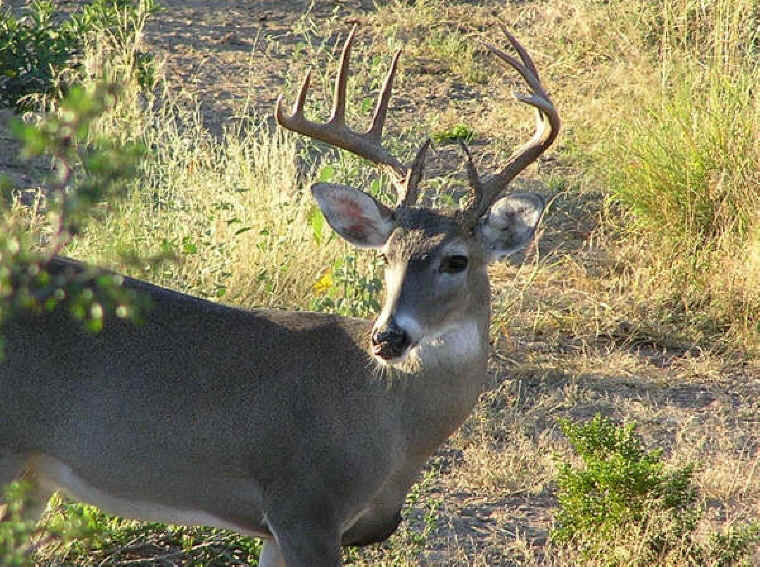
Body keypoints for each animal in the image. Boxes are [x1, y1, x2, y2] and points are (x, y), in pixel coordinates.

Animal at [0, 27, 558, 566]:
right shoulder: (304, 503)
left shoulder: (280, 527)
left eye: (456, 260)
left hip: (34, 474)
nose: (388, 337)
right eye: (385, 257)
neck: (393, 427)